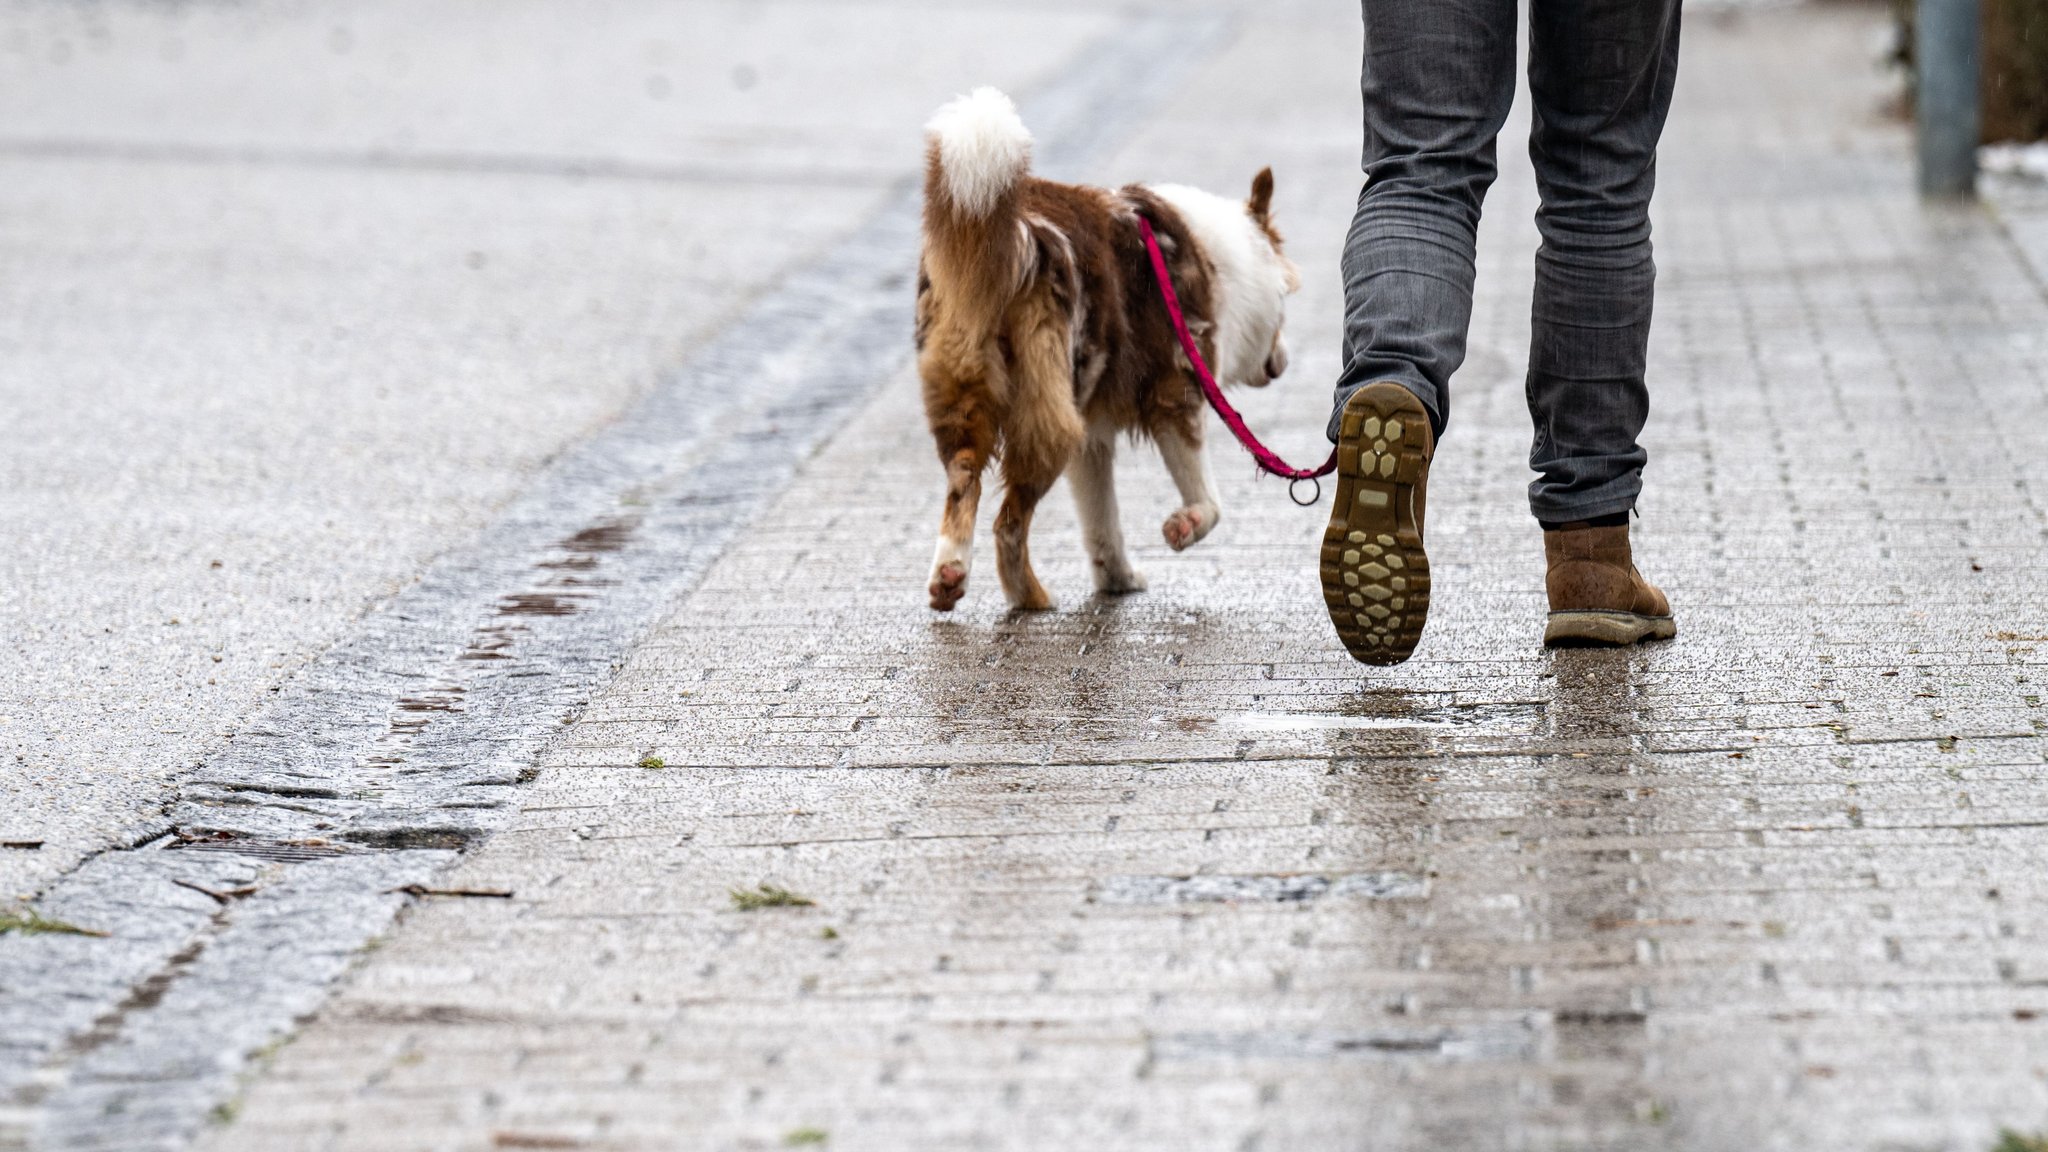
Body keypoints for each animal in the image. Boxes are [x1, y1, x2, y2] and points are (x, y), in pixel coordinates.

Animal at [917, 87, 1294, 610]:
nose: (1283, 362)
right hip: (1050, 417)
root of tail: (1017, 234)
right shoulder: (1177, 391)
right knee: (1008, 524)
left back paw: (952, 577)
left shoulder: (1092, 436)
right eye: (1286, 299)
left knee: (964, 485)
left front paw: (1117, 577)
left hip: (972, 396)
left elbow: (1102, 520)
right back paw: (1028, 596)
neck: (1222, 262)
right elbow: (1208, 497)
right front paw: (1184, 525)